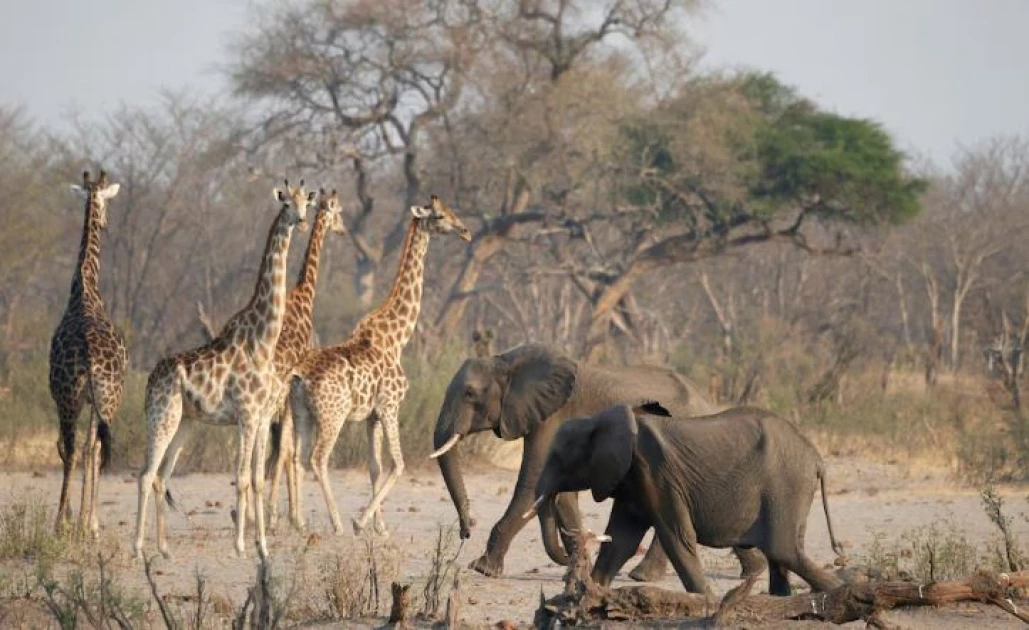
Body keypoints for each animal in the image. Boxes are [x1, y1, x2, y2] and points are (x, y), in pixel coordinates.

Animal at [428, 343, 765, 581]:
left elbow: (531, 483)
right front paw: (576, 569)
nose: (466, 530)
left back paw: (643, 577)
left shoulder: (553, 414)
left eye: (470, 394)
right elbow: (560, 494)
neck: (507, 360)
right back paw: (755, 571)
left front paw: (482, 569)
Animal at [531, 402, 845, 598]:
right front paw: (588, 596)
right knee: (782, 555)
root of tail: (817, 458)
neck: (600, 420)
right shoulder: (632, 479)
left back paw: (841, 589)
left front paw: (707, 601)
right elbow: (620, 540)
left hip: (786, 485)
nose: (568, 553)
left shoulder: (656, 473)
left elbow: (677, 538)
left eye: (559, 458)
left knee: (783, 550)